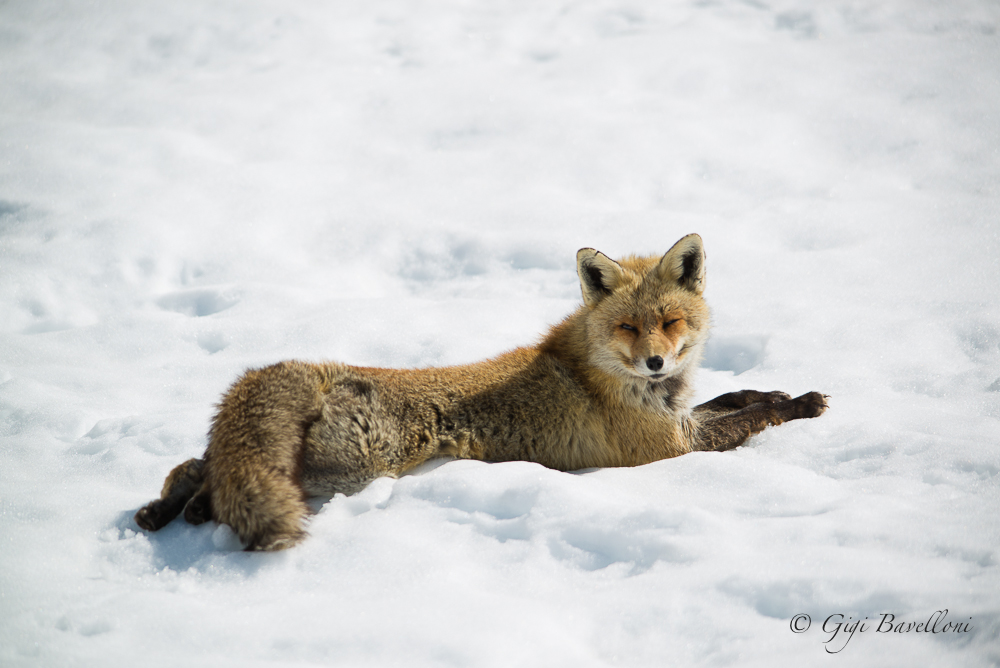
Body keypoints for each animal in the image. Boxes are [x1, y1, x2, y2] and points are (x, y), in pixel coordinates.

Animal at [135, 234, 828, 548]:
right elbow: (751, 417)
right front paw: (800, 405)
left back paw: (167, 511)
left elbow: (737, 397)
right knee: (219, 475)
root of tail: (303, 369)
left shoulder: (680, 421)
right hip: (353, 467)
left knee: (198, 465)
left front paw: (781, 389)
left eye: (671, 321)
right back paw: (185, 511)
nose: (656, 362)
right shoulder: (669, 447)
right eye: (629, 327)